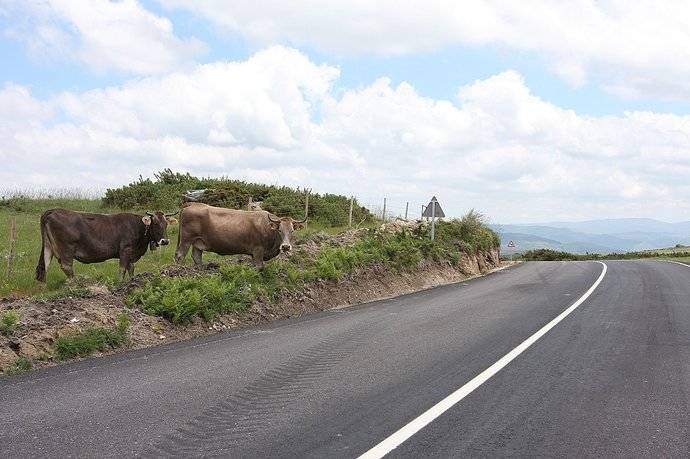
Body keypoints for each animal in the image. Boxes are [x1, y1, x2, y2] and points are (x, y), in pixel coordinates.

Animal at [36, 208, 177, 280]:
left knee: (45, 266)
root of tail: (54, 210)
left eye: (166, 224)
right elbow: (122, 269)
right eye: (155, 224)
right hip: (66, 249)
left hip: (48, 247)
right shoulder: (125, 250)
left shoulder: (131, 254)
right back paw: (75, 284)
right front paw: (120, 284)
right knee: (67, 267)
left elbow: (131, 269)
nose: (165, 241)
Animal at [175, 203, 306, 268]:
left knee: (196, 256)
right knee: (180, 256)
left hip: (198, 241)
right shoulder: (258, 250)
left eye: (292, 231)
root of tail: (190, 206)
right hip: (186, 239)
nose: (285, 247)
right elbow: (260, 267)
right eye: (279, 230)